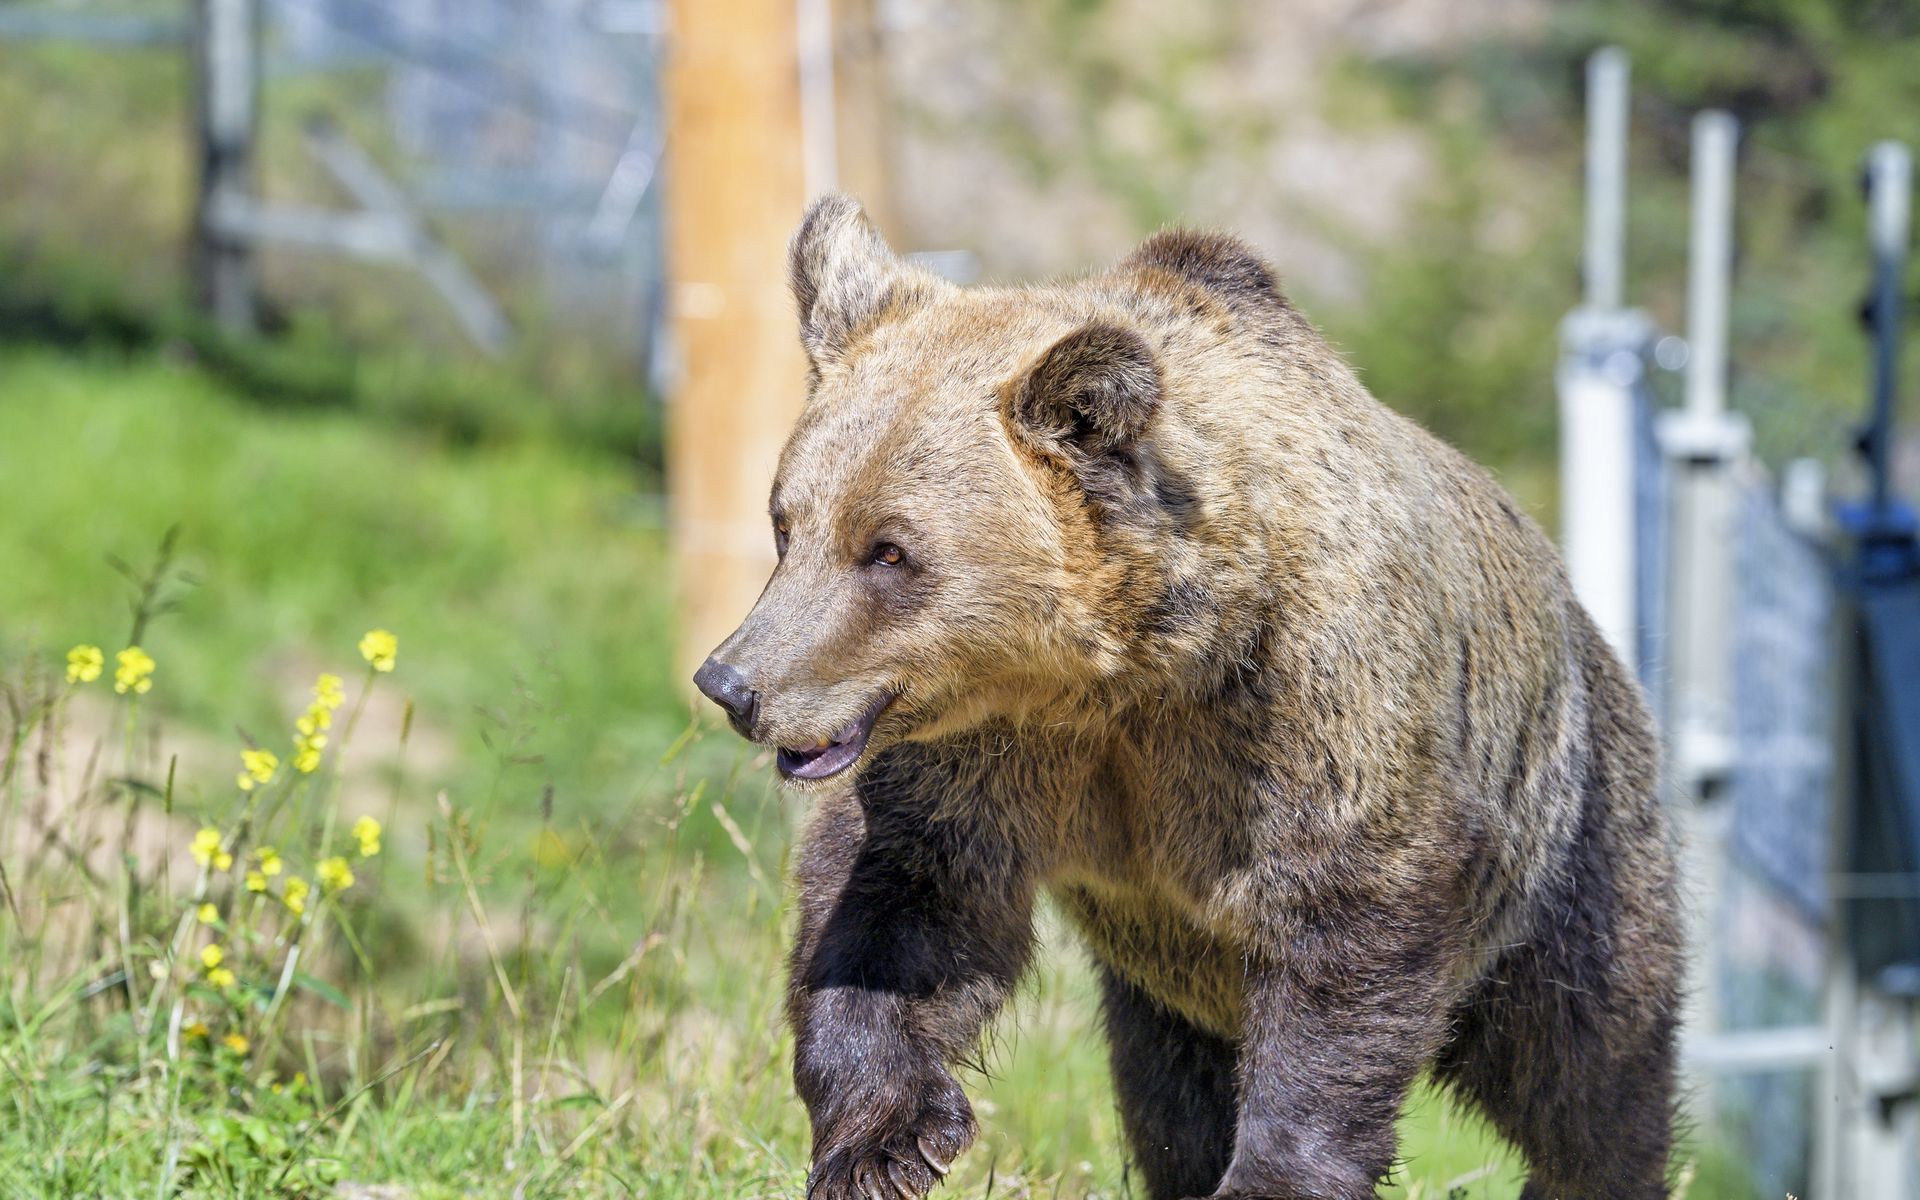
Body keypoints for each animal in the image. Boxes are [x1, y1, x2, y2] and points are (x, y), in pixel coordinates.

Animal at [695, 193, 1681, 1198]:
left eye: (890, 551)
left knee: (1587, 1067)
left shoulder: (1307, 721)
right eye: (789, 523)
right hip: (1163, 994)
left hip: (1570, 848)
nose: (733, 682)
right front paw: (883, 1143)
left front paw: (1276, 1175)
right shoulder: (999, 754)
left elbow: (1343, 943)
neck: (1133, 671)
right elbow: (901, 902)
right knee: (1169, 1095)